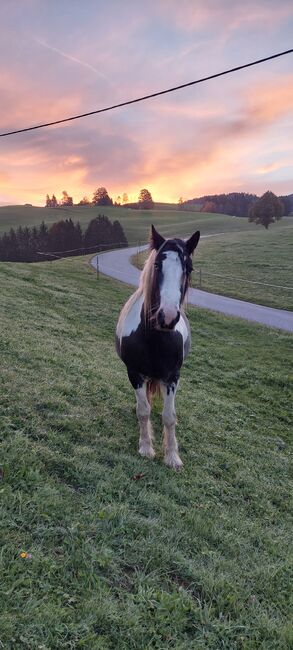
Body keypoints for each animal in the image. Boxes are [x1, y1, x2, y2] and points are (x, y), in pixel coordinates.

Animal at [115, 225, 200, 468]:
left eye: (189, 268)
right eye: (156, 265)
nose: (167, 317)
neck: (155, 339)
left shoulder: (172, 377)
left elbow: (169, 417)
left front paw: (172, 456)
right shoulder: (135, 374)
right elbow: (143, 411)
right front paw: (146, 447)